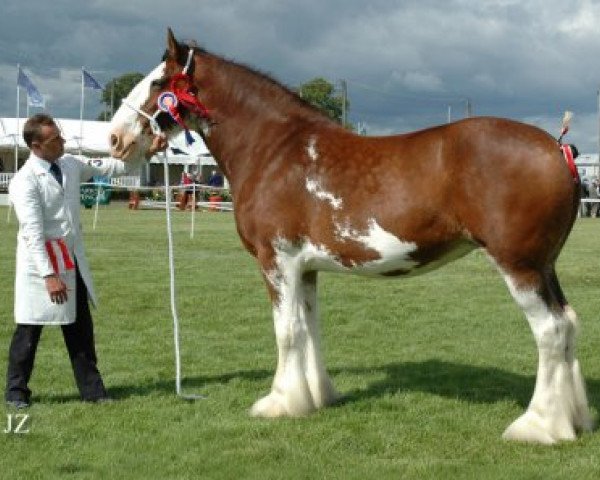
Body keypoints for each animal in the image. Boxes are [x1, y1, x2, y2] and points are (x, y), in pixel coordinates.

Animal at [110, 28, 592, 444]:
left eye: (158, 82)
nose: (115, 139)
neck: (275, 149)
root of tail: (558, 149)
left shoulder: (276, 261)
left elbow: (286, 332)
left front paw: (278, 404)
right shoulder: (305, 269)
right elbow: (309, 329)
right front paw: (315, 397)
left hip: (519, 265)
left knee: (549, 330)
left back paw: (537, 426)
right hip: (544, 266)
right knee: (568, 324)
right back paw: (572, 421)